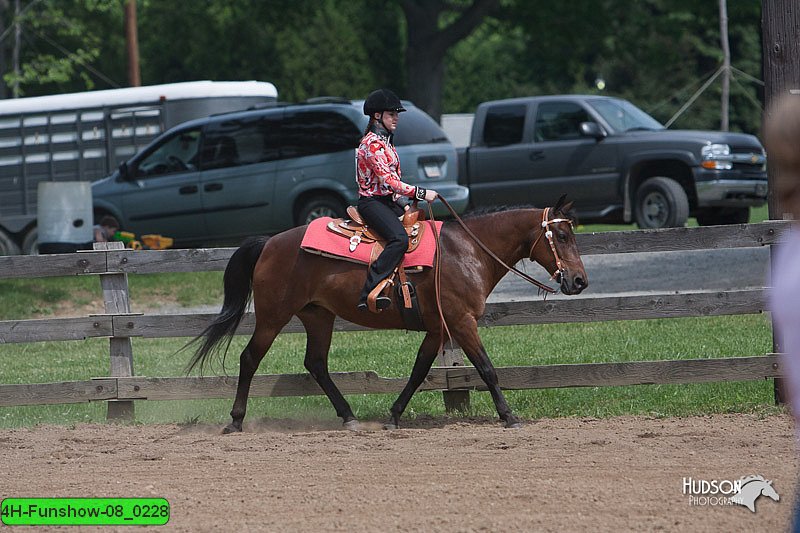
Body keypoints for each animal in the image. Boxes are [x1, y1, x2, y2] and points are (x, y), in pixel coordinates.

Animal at [188, 195, 588, 432]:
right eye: (562, 237)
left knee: (316, 363)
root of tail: (269, 242)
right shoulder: (461, 322)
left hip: (318, 316)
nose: (580, 281)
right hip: (273, 317)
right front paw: (509, 417)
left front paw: (394, 416)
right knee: (249, 358)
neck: (466, 251)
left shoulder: (438, 329)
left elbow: (419, 370)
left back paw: (349, 416)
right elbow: (486, 368)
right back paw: (236, 421)